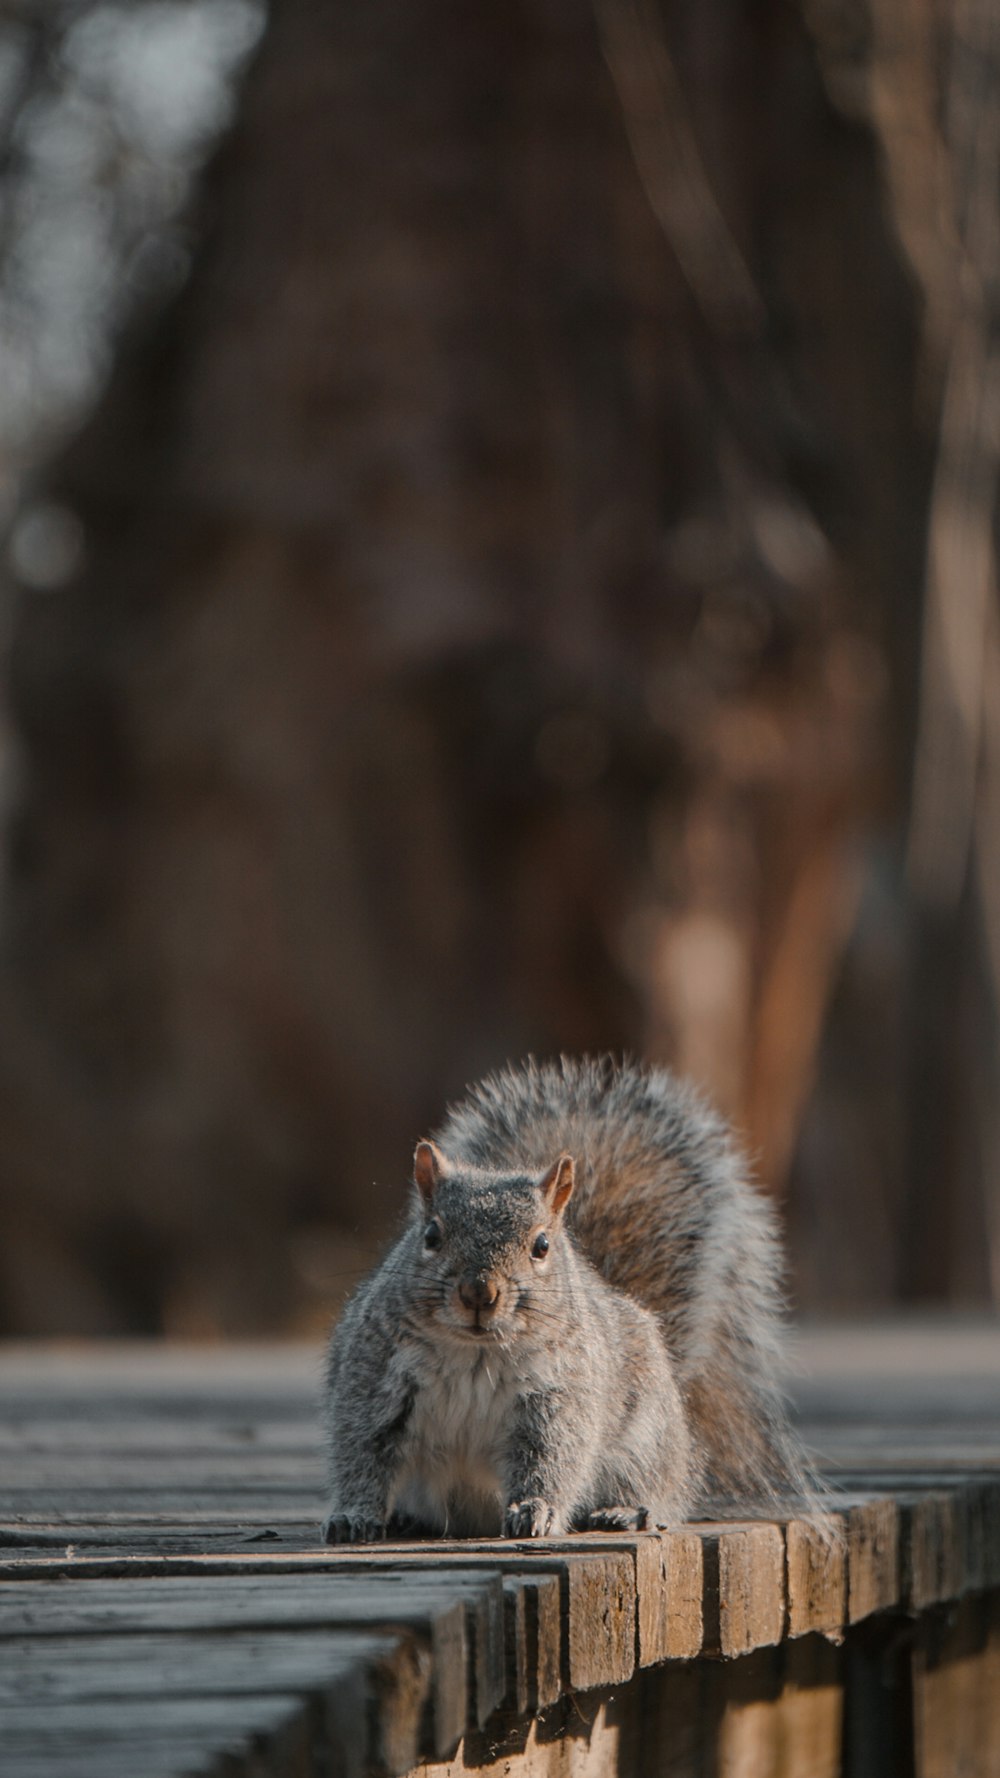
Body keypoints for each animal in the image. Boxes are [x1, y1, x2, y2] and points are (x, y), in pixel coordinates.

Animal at [318, 1052, 811, 1543]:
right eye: (431, 1235)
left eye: (541, 1245)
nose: (479, 1292)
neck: (476, 1351)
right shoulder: (374, 1380)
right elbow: (362, 1454)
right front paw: (354, 1516)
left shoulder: (559, 1395)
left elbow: (551, 1457)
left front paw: (534, 1509)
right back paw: (405, 1517)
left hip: (646, 1440)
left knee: (657, 1485)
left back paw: (623, 1511)